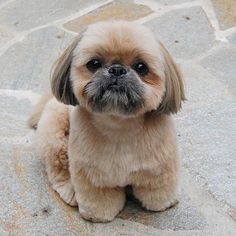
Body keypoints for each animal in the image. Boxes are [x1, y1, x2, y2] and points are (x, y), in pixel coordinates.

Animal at [29, 19, 184, 221]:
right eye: (94, 63)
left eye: (141, 67)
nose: (117, 70)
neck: (119, 125)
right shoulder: (93, 178)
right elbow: (99, 201)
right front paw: (97, 215)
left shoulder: (159, 170)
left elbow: (157, 193)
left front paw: (165, 203)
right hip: (56, 139)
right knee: (58, 170)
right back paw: (70, 192)